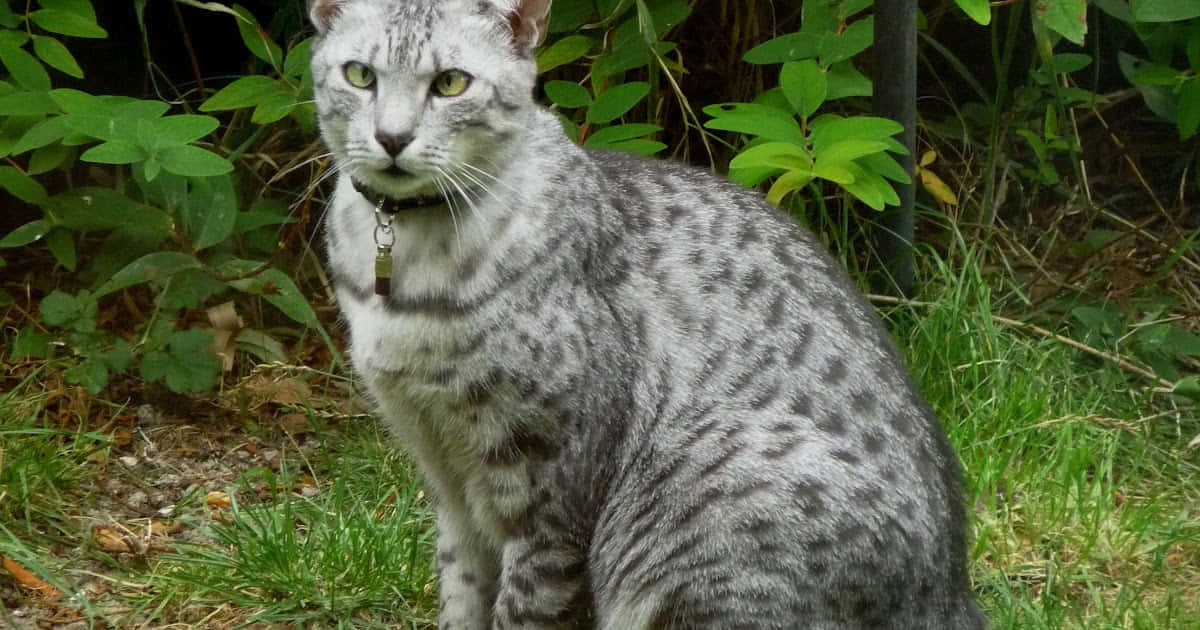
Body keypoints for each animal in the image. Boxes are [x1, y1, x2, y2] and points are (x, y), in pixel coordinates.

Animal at [307, 0, 984, 624]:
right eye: (360, 75)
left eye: (450, 83)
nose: (393, 138)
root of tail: (953, 595)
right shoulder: (450, 488)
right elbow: (461, 598)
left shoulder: (550, 491)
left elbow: (525, 607)